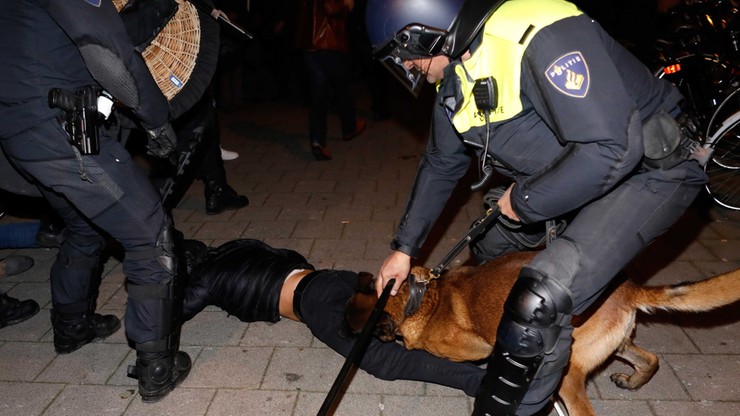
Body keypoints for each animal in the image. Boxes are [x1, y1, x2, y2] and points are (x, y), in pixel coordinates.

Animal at [346, 250, 740, 416]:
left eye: (351, 328)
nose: (339, 327)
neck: (419, 298)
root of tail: (629, 289)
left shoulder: (475, 347)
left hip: (568, 371)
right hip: (616, 344)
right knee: (651, 358)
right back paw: (632, 381)